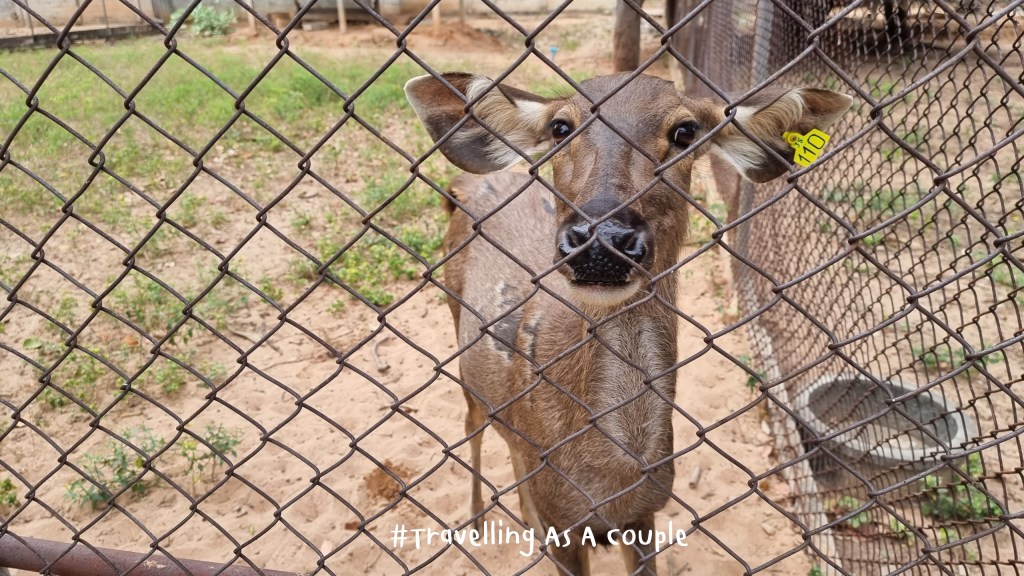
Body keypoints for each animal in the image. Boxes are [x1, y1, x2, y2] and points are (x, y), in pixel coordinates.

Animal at [404, 72, 850, 575]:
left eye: (685, 131)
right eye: (560, 127)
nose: (602, 240)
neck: (611, 479)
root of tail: (463, 188)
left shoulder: (645, 512)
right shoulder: (565, 519)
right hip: (457, 331)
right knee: (472, 425)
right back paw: (479, 517)